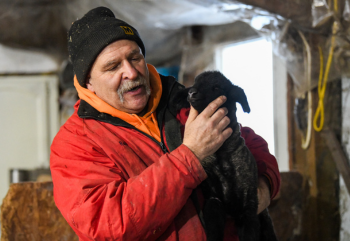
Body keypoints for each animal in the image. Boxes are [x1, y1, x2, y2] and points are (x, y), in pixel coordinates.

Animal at [174, 70, 278, 241]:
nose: (191, 92)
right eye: (195, 82)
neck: (221, 155)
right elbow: (214, 232)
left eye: (217, 87)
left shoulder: (248, 208)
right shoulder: (214, 202)